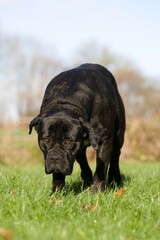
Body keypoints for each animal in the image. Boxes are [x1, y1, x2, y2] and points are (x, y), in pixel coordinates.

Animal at [29, 63, 125, 193]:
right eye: (46, 139)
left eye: (68, 141)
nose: (54, 158)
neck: (67, 102)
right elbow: (58, 174)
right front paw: (57, 192)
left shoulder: (104, 140)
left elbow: (101, 168)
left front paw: (97, 192)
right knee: (82, 160)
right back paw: (87, 180)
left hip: (119, 135)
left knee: (115, 155)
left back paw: (115, 179)